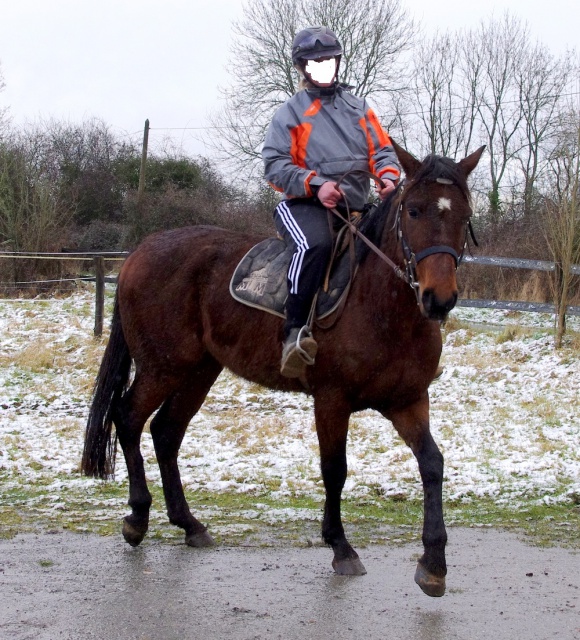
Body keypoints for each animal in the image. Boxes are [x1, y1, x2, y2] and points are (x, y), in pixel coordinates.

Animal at [81, 140, 484, 596]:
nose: (439, 298)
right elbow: (334, 470)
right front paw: (340, 546)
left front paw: (433, 563)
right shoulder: (331, 400)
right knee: (128, 418)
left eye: (463, 216)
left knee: (166, 432)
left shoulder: (408, 400)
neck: (381, 306)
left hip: (199, 370)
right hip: (162, 368)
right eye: (414, 211)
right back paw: (137, 517)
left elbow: (432, 464)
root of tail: (139, 252)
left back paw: (189, 524)